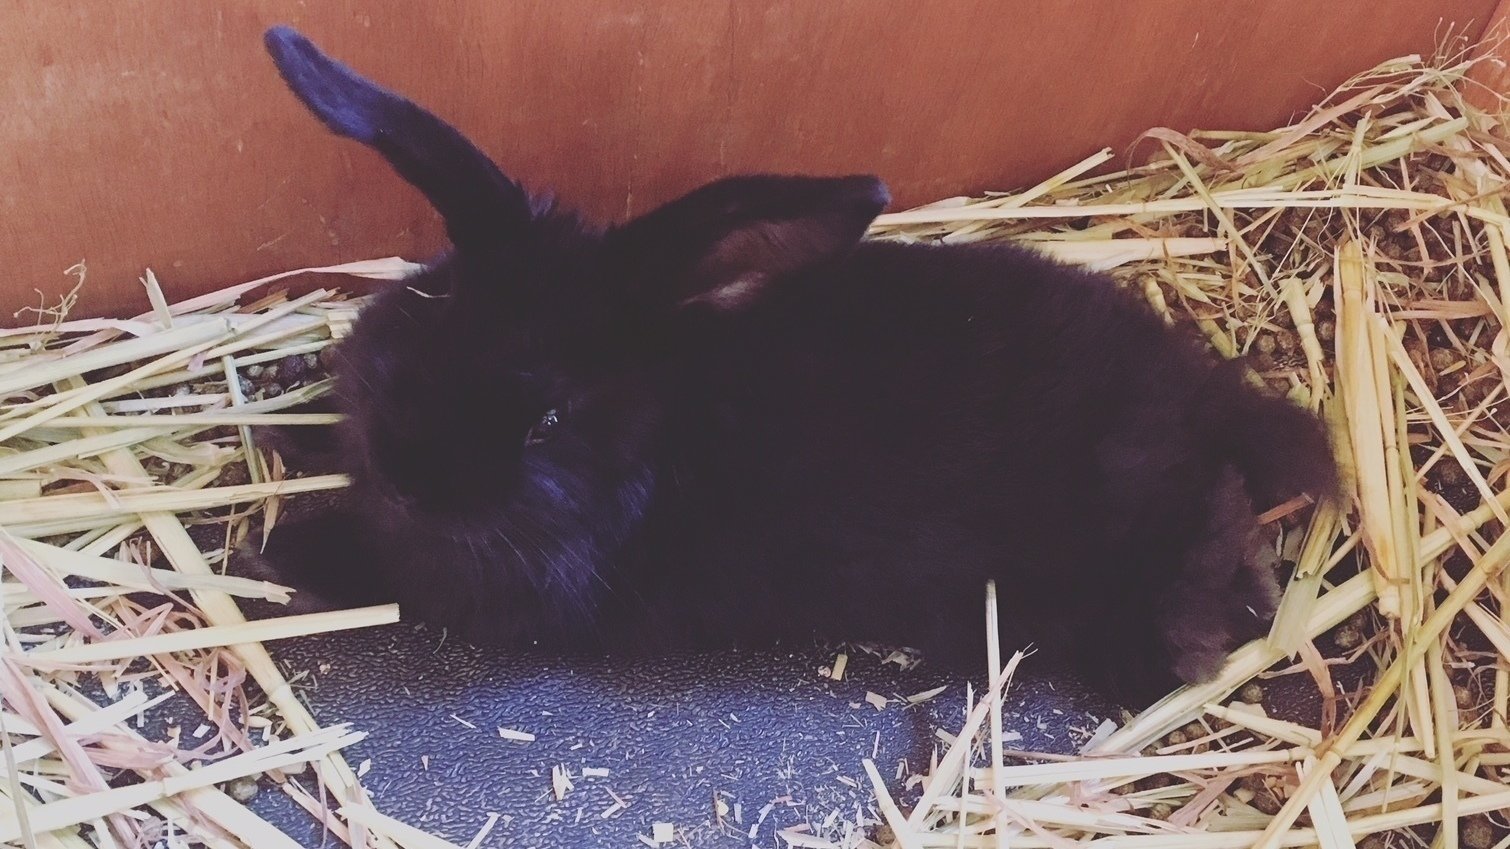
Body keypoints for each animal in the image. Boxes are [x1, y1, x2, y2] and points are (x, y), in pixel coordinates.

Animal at [244, 25, 1337, 706]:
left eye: (546, 420)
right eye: (430, 309)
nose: (408, 476)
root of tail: (1202, 402)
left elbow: (390, 574)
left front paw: (282, 552)